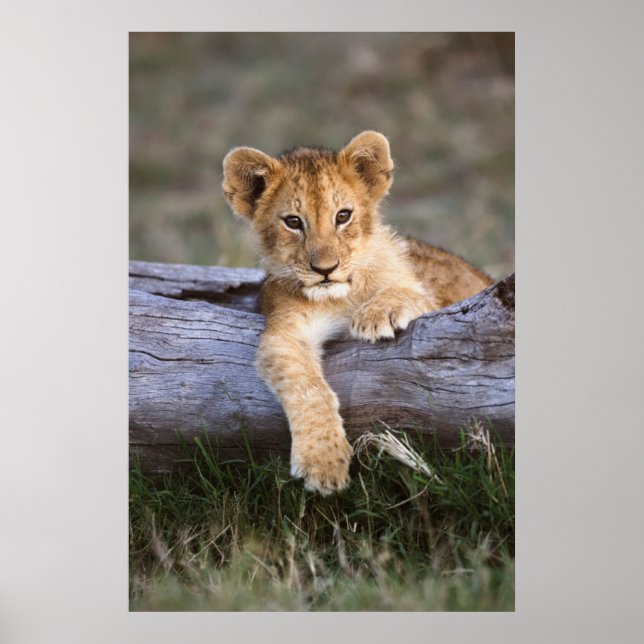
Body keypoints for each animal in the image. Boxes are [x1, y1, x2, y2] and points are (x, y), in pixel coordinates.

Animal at [223, 131, 493, 495]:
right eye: (293, 222)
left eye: (343, 216)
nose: (325, 269)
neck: (341, 296)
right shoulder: (285, 331)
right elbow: (308, 388)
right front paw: (323, 462)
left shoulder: (435, 301)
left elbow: (409, 292)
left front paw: (377, 314)